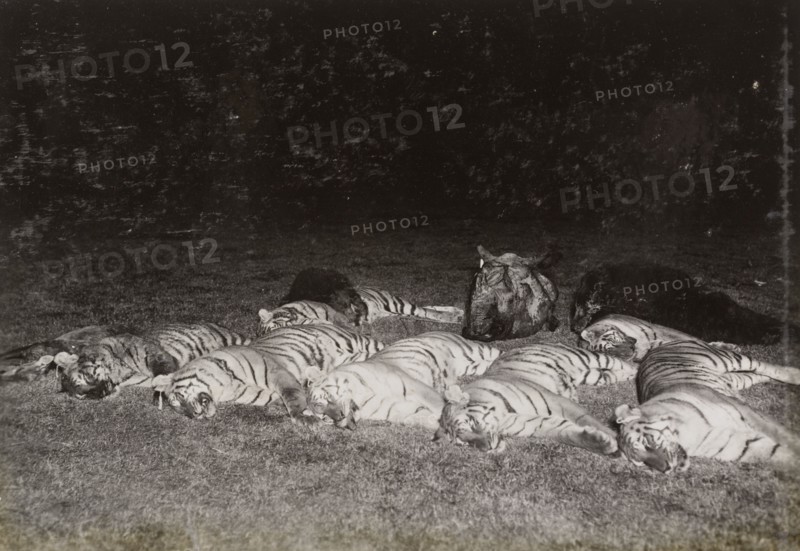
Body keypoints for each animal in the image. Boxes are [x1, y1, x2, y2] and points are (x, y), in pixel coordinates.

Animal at [59, 323, 250, 399]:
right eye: (83, 395)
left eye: (88, 377)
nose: (100, 394)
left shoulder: (153, 353)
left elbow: (161, 368)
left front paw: (164, 379)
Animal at [155, 324, 385, 419]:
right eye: (177, 408)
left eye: (179, 399)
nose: (194, 415)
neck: (225, 385)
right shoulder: (258, 394)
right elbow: (275, 398)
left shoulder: (277, 372)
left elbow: (292, 397)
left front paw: (303, 417)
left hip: (351, 341)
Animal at [616, 340, 800, 473]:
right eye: (641, 462)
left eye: (648, 443)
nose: (665, 469)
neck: (689, 435)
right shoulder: (739, 444)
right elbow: (778, 454)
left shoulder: (748, 412)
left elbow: (783, 435)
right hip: (737, 380)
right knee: (758, 375)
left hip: (727, 359)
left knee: (764, 366)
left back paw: (795, 375)